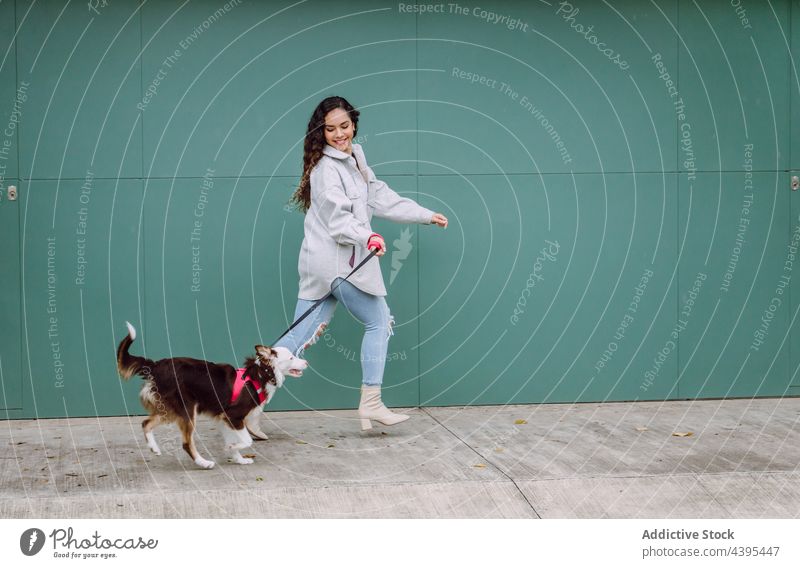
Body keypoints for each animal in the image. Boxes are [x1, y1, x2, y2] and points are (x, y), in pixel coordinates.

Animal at [115, 322, 306, 468]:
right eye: (291, 357)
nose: (306, 362)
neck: (261, 375)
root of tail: (155, 366)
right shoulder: (233, 416)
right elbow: (247, 441)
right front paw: (231, 448)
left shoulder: (225, 419)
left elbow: (236, 441)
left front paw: (238, 458)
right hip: (187, 410)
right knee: (186, 443)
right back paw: (203, 463)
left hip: (170, 410)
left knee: (145, 423)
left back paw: (153, 447)